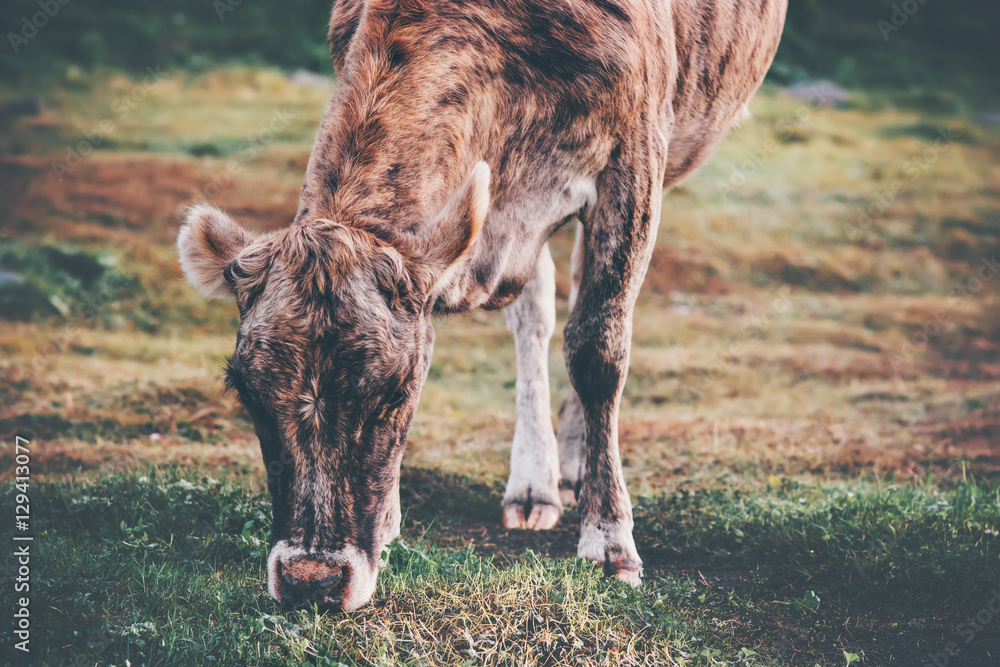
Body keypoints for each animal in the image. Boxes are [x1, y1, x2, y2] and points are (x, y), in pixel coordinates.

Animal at [180, 0, 788, 612]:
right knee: (538, 312)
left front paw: (611, 541)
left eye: (395, 393)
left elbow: (598, 351)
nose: (312, 580)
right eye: (247, 394)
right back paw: (537, 482)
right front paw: (392, 521)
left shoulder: (634, 157)